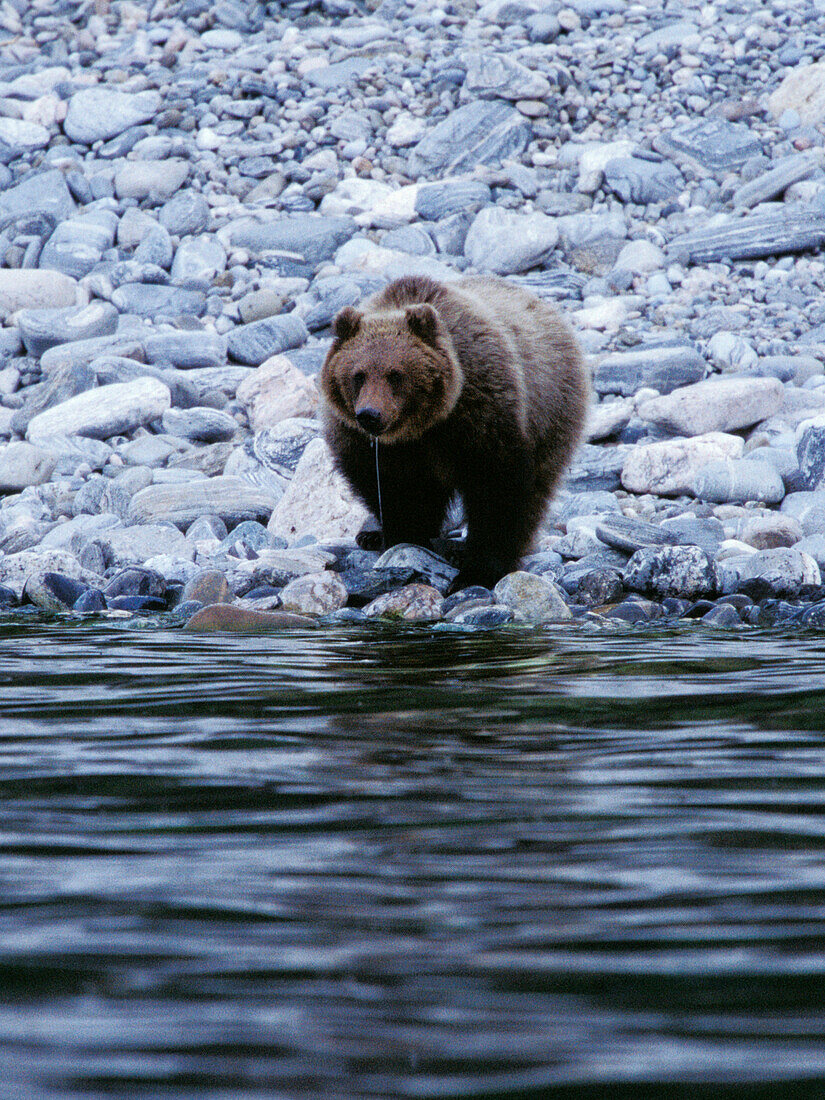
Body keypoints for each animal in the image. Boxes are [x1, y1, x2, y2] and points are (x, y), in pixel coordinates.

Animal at [319, 269, 589, 589]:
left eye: (395, 375)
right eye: (358, 375)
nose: (370, 415)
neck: (422, 426)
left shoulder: (482, 418)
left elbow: (497, 490)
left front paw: (479, 570)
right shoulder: (371, 446)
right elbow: (394, 491)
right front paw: (406, 537)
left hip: (551, 411)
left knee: (536, 487)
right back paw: (371, 535)